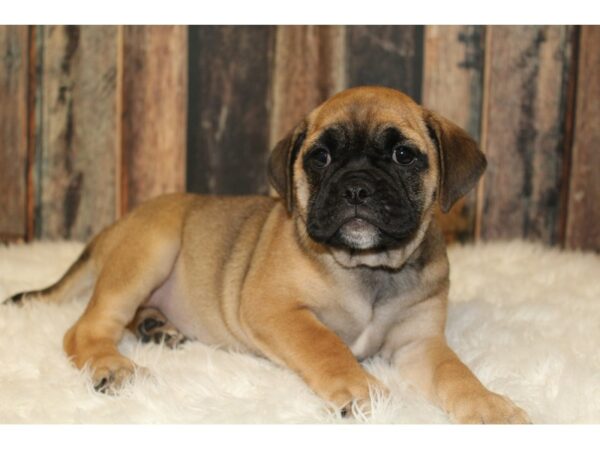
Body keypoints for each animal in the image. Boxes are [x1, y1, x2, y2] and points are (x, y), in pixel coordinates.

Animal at [5, 87, 528, 422]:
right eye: (320, 157)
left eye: (404, 156)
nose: (356, 187)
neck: (368, 268)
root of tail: (114, 227)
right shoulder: (278, 310)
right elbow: (326, 345)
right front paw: (358, 388)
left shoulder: (420, 343)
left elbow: (456, 373)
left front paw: (488, 406)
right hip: (150, 250)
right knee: (84, 330)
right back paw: (112, 365)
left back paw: (157, 327)